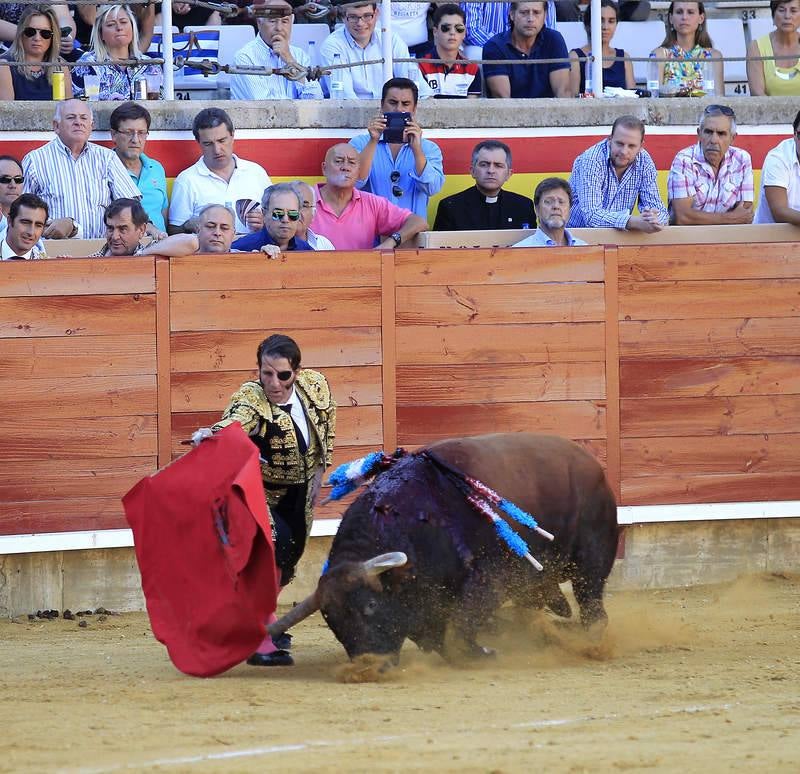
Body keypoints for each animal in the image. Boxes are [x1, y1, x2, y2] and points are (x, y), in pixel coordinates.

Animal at [268, 434, 620, 664]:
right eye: (332, 621)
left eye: (370, 606)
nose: (368, 668)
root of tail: (593, 465)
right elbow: (441, 638)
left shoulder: (486, 581)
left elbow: (459, 631)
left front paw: (485, 652)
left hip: (591, 562)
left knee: (593, 608)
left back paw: (591, 645)